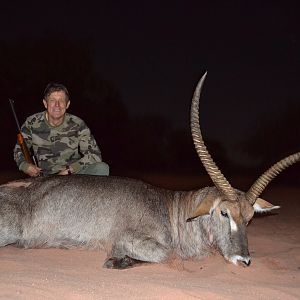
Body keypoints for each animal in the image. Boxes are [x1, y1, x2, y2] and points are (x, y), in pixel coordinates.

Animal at [0, 73, 298, 270]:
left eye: (250, 218)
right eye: (224, 213)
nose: (244, 260)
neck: (172, 210)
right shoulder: (130, 238)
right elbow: (165, 254)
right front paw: (115, 261)